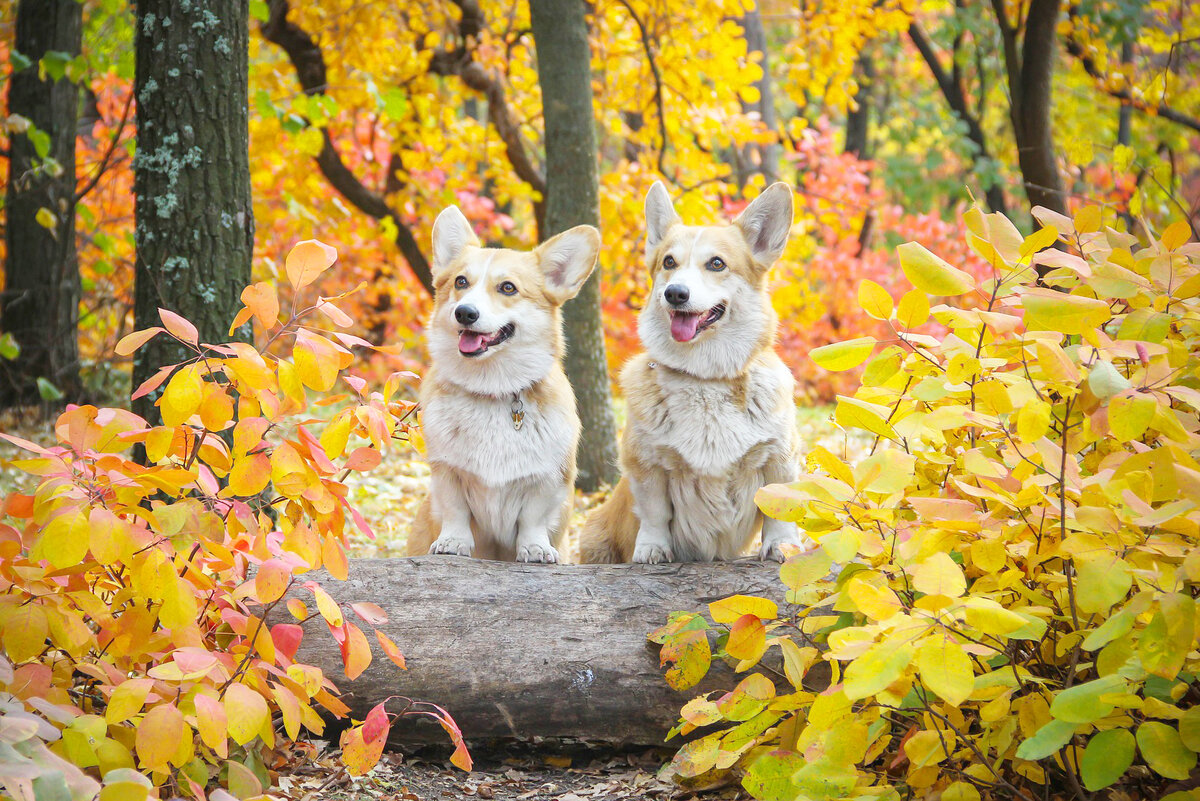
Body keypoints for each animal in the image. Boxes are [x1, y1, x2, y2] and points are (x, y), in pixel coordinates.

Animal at [408, 205, 600, 563]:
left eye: (508, 288)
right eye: (461, 282)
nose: (464, 312)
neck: (492, 389)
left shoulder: (547, 480)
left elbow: (533, 519)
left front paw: (535, 549)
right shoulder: (447, 472)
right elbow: (455, 511)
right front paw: (452, 543)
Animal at [578, 183, 801, 563]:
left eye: (717, 264)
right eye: (669, 262)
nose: (675, 293)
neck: (704, 379)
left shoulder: (778, 456)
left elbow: (779, 508)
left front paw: (783, 545)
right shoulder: (647, 464)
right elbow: (655, 513)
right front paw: (652, 550)